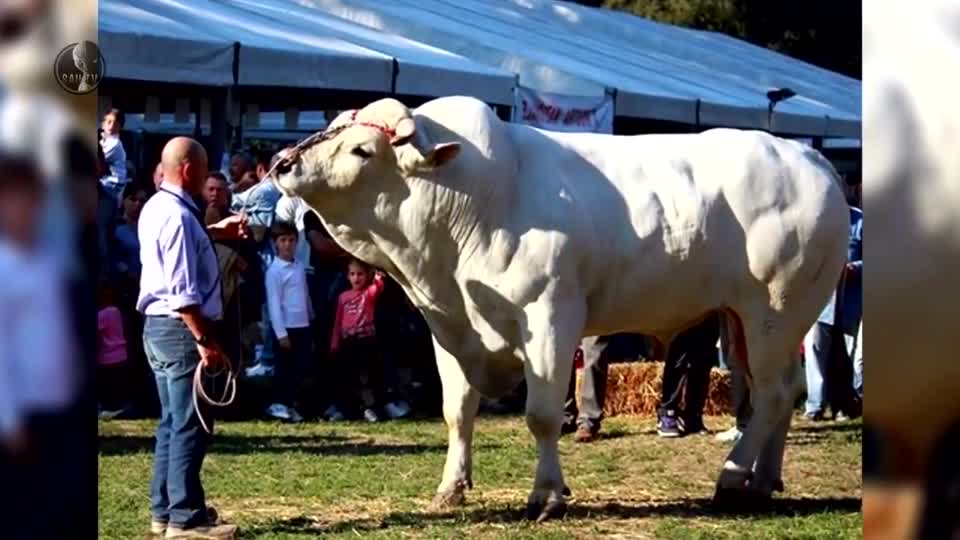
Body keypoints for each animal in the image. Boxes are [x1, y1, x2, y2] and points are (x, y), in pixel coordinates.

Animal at [272, 96, 848, 520]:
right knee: (785, 389)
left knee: (772, 393)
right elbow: (457, 412)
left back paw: (731, 479)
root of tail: (811, 159)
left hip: (775, 310)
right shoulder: (448, 328)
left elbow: (543, 415)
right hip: (743, 322)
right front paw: (450, 488)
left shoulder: (549, 317)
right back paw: (763, 480)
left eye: (361, 150)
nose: (281, 163)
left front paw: (546, 495)